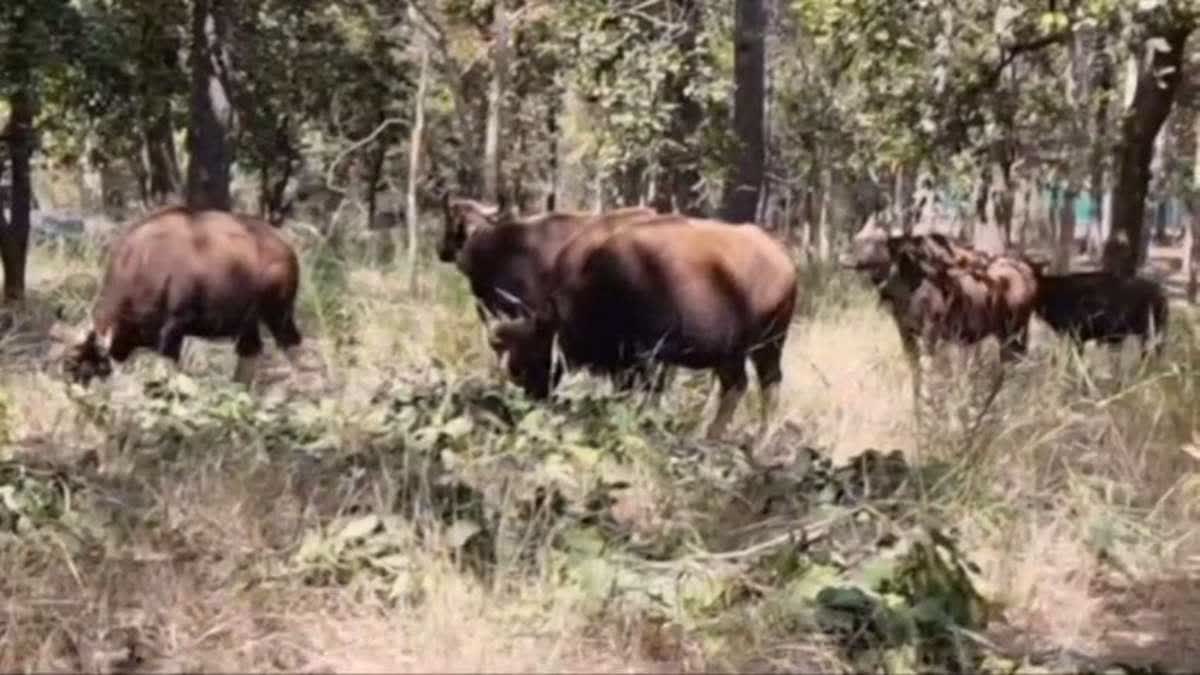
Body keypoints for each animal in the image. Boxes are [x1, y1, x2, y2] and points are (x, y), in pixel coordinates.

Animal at [59, 206, 305, 386]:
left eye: (73, 359)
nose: (67, 381)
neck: (143, 262)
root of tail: (286, 247)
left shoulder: (174, 328)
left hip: (278, 313)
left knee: (291, 343)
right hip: (249, 322)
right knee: (250, 350)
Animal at [489, 215, 798, 440]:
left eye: (533, 354)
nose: (532, 398)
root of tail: (783, 259)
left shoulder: (648, 358)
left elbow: (644, 393)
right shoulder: (628, 361)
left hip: (769, 343)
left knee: (769, 382)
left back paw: (759, 442)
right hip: (730, 354)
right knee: (737, 385)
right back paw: (710, 436)